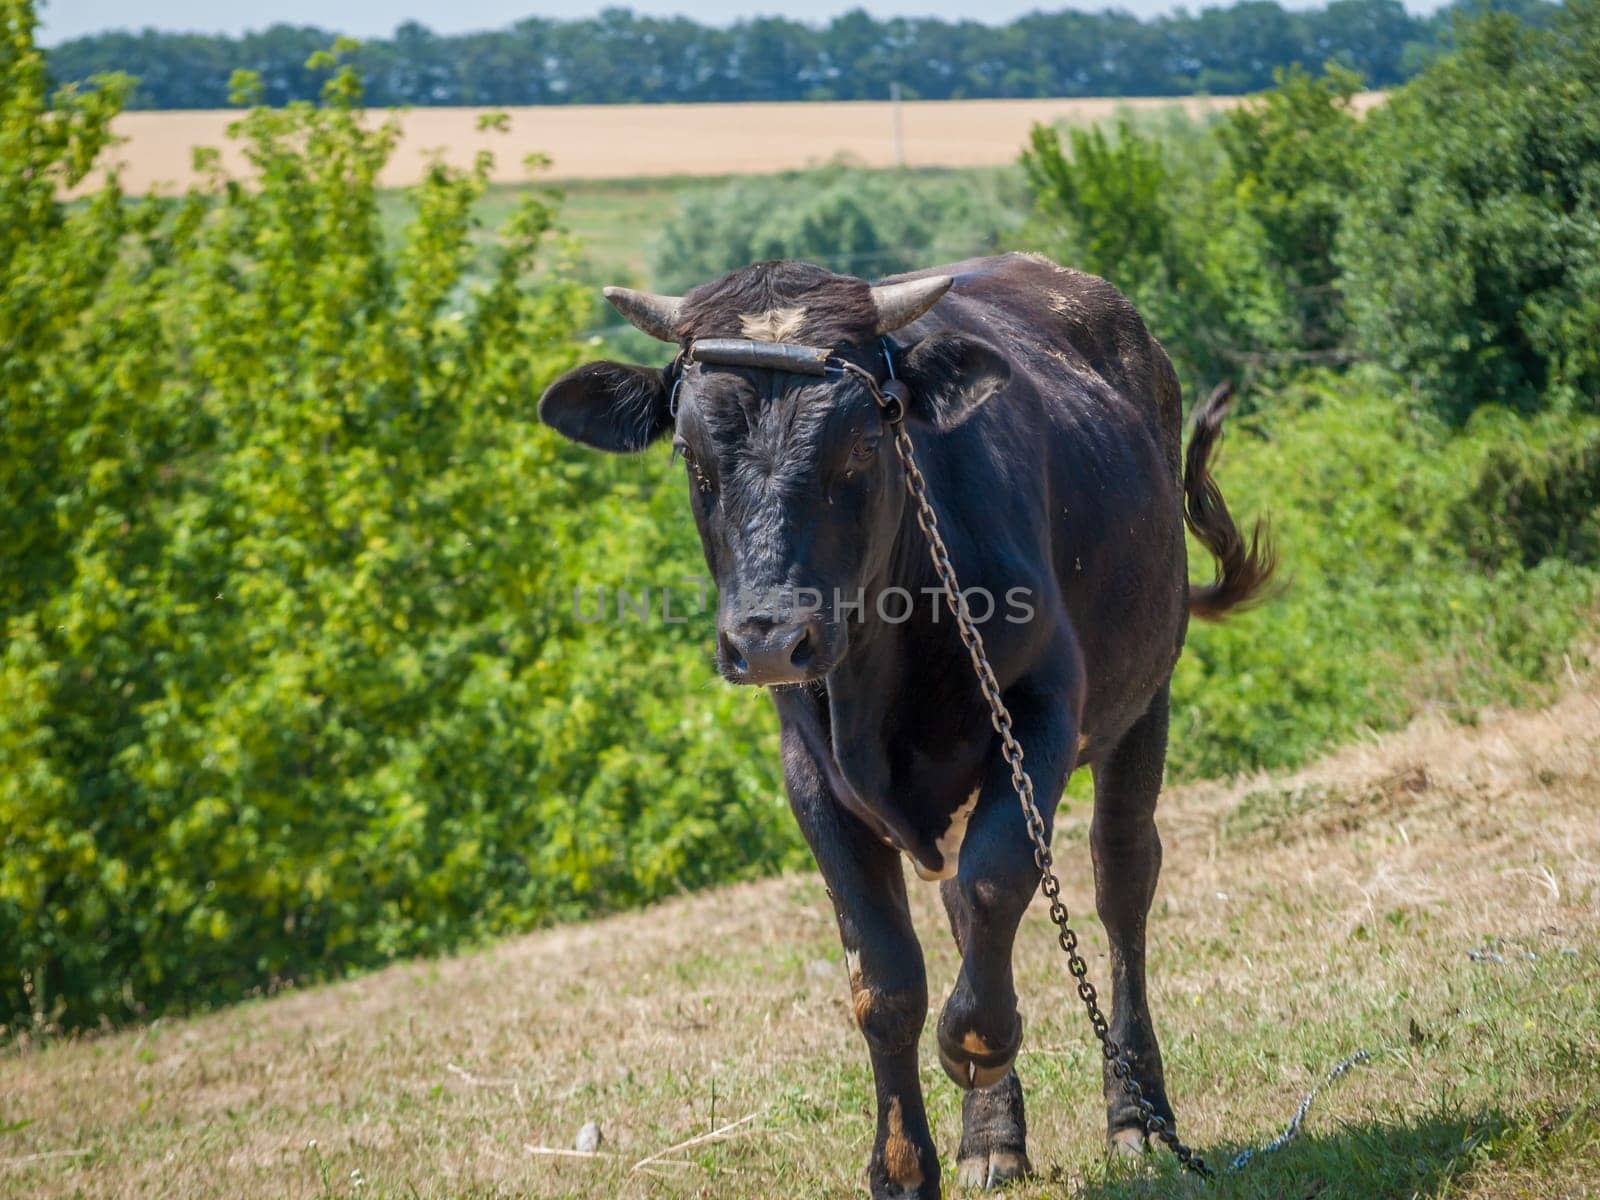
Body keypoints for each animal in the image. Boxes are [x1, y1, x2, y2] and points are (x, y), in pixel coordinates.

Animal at [544, 251, 1267, 1196]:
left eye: (860, 445)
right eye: (692, 457)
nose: (768, 638)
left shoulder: (1040, 708)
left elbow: (996, 882)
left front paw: (978, 1042)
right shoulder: (810, 775)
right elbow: (884, 976)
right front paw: (903, 1163)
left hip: (1145, 699)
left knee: (1119, 885)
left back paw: (1137, 1114)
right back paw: (992, 1138)